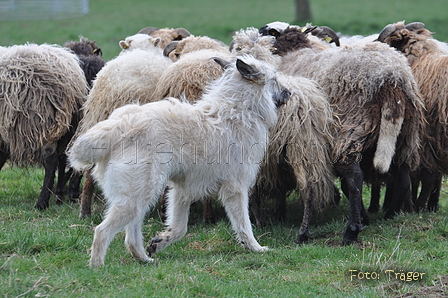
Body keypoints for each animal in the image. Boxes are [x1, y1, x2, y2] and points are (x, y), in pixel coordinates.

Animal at [0, 43, 88, 210]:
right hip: (69, 127)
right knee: (63, 157)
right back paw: (58, 196)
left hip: (38, 121)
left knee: (50, 159)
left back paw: (42, 202)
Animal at [67, 54, 290, 266]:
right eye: (274, 79)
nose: (289, 92)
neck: (239, 107)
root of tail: (121, 125)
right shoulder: (235, 188)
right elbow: (244, 224)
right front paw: (255, 248)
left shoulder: (182, 190)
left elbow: (180, 228)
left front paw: (160, 241)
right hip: (136, 197)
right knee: (102, 231)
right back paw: (97, 267)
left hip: (141, 197)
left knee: (131, 238)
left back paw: (144, 259)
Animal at [260, 25, 424, 243]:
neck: (293, 52)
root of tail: (392, 78)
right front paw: (366, 219)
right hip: (406, 135)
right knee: (403, 178)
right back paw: (389, 216)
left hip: (350, 130)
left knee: (354, 178)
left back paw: (351, 231)